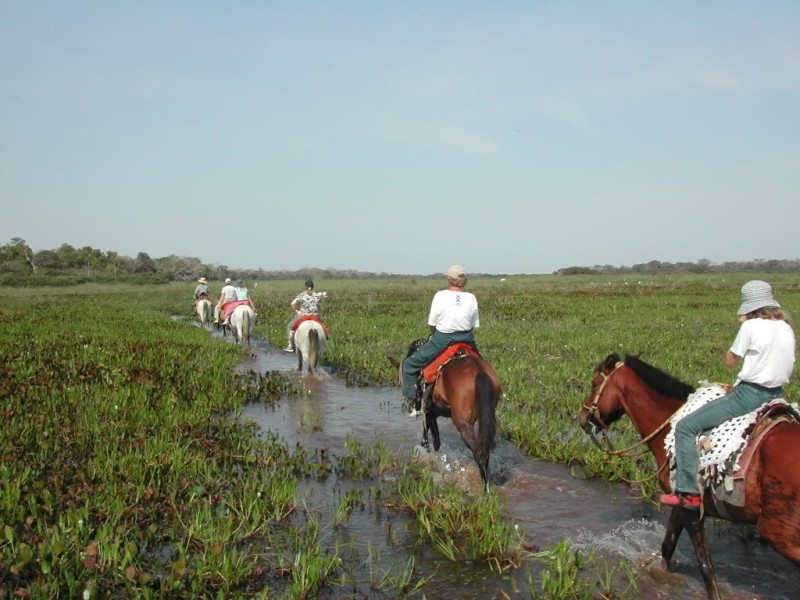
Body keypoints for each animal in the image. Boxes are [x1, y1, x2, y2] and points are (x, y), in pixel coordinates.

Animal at [388, 342, 500, 492]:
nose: (407, 404)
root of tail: (479, 371)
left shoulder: (428, 412)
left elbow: (430, 441)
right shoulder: (434, 413)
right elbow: (435, 440)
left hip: (463, 424)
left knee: (479, 454)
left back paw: (486, 491)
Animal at [580, 352, 800, 600]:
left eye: (594, 384)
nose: (582, 417)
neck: (670, 425)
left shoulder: (691, 509)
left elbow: (705, 565)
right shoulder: (679, 503)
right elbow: (668, 546)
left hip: (781, 534)